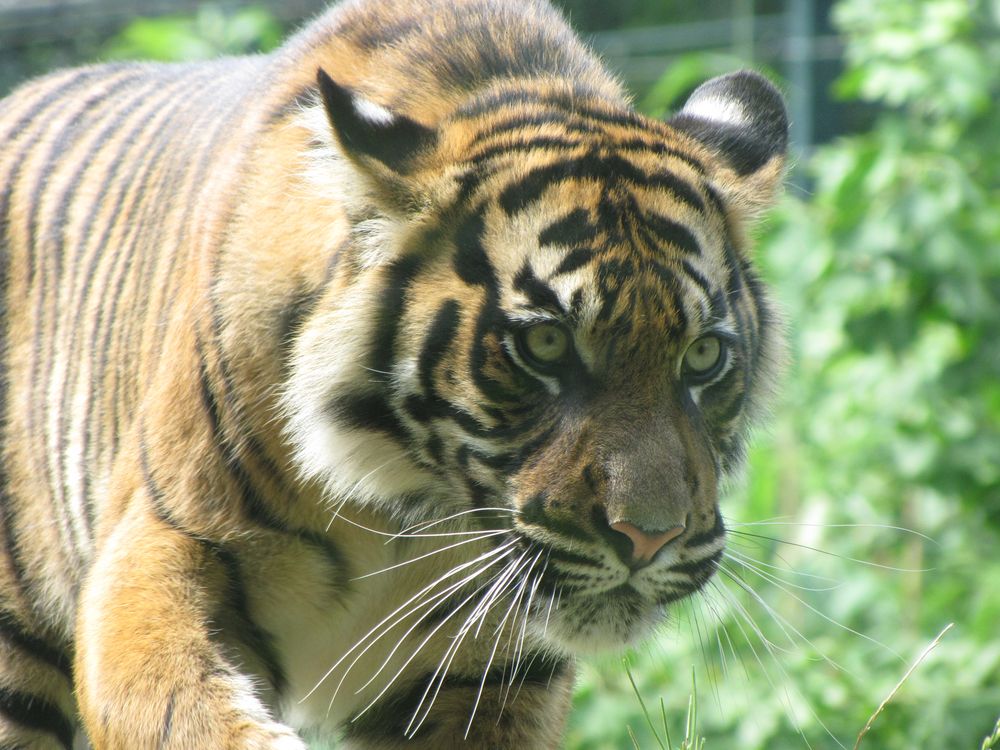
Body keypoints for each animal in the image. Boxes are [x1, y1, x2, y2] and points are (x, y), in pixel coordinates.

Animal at [0, 0, 784, 748]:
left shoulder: (488, 673)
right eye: (546, 345)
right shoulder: (160, 545)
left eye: (702, 357)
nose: (648, 540)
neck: (401, 502)